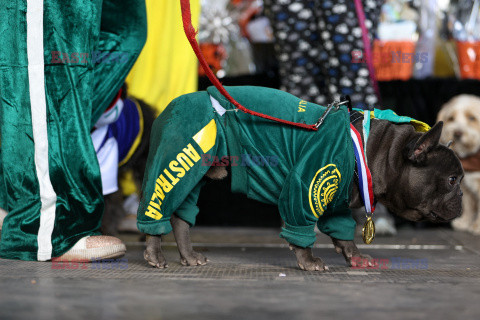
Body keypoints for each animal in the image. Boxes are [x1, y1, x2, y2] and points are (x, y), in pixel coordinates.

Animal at [436, 94, 480, 234]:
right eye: (451, 118)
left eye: (472, 118)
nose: (457, 133)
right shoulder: (465, 186)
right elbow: (468, 205)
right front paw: (465, 222)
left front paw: (477, 227)